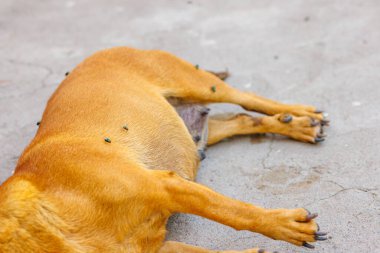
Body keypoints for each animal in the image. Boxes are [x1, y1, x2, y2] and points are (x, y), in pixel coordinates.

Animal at [0, 47, 326, 253]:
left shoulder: (166, 186)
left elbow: (234, 212)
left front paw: (286, 226)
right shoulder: (160, 246)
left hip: (197, 83)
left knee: (249, 98)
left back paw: (300, 113)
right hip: (195, 133)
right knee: (241, 118)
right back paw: (294, 125)